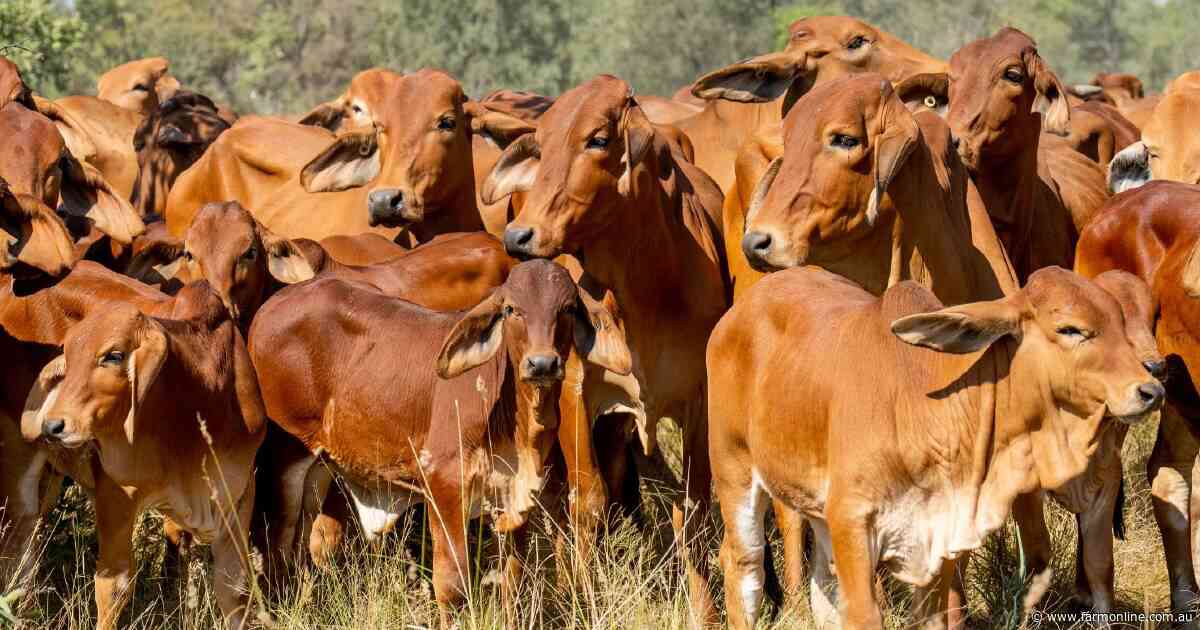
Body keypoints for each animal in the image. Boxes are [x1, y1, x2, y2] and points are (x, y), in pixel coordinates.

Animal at [22, 282, 266, 630]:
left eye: (114, 355)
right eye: (67, 356)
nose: (52, 425)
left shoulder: (239, 492)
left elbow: (232, 587)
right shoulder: (116, 495)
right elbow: (114, 585)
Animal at [247, 259, 631, 620]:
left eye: (567, 308)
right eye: (511, 309)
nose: (542, 364)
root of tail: (268, 308)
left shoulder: (515, 497)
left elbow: (513, 581)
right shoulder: (444, 486)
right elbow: (452, 585)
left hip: (320, 468)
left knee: (304, 543)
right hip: (286, 457)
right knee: (277, 541)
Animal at [487, 74, 728, 624]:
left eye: (597, 139)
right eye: (542, 142)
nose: (519, 235)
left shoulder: (699, 401)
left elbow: (694, 511)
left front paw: (704, 612)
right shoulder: (574, 389)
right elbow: (587, 503)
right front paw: (583, 601)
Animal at [708, 265, 1164, 629]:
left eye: (1122, 323)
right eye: (1071, 329)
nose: (1151, 390)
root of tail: (738, 311)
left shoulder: (939, 538)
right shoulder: (852, 520)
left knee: (821, 587)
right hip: (735, 472)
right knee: (743, 567)